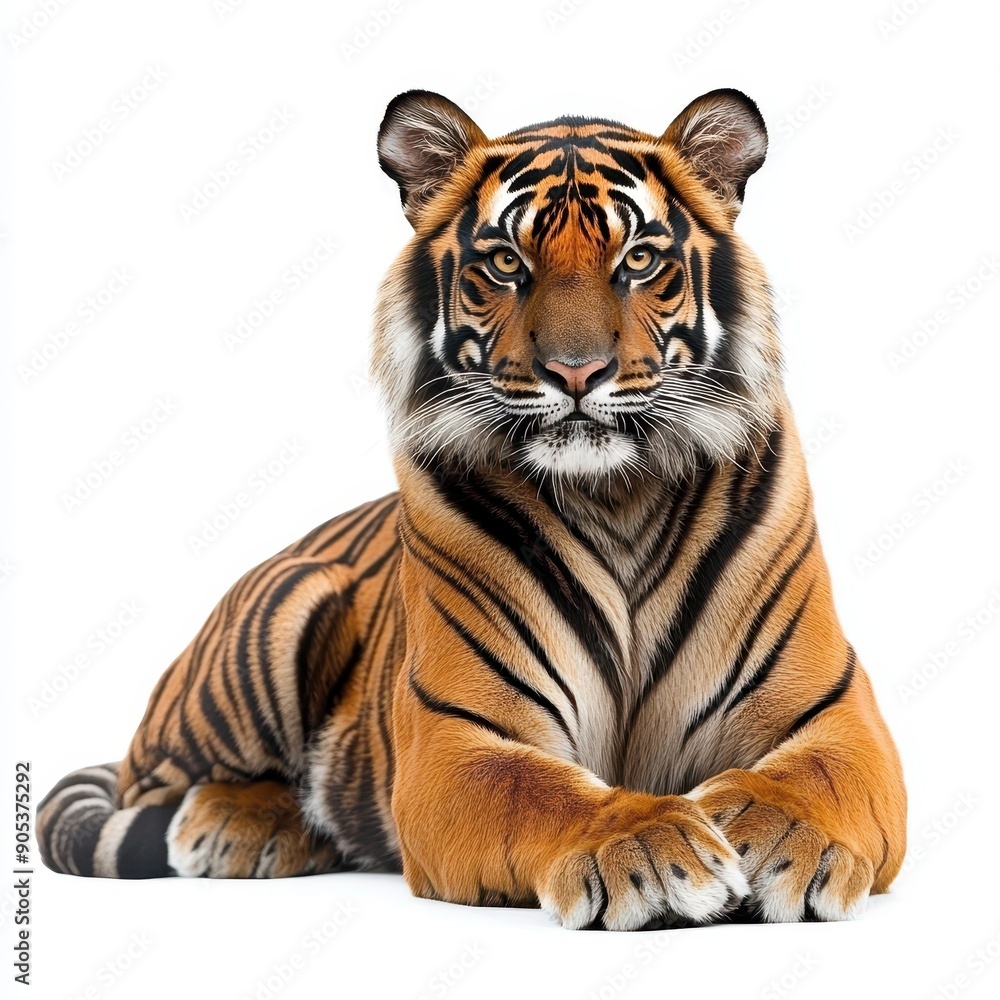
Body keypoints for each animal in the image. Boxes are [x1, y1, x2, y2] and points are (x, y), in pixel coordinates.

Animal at [38, 88, 906, 930]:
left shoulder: (836, 714)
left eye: (638, 260)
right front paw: (651, 848)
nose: (577, 371)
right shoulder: (461, 740)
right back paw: (242, 824)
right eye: (505, 262)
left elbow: (812, 778)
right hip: (281, 612)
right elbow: (548, 792)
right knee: (153, 785)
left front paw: (780, 840)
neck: (616, 496)